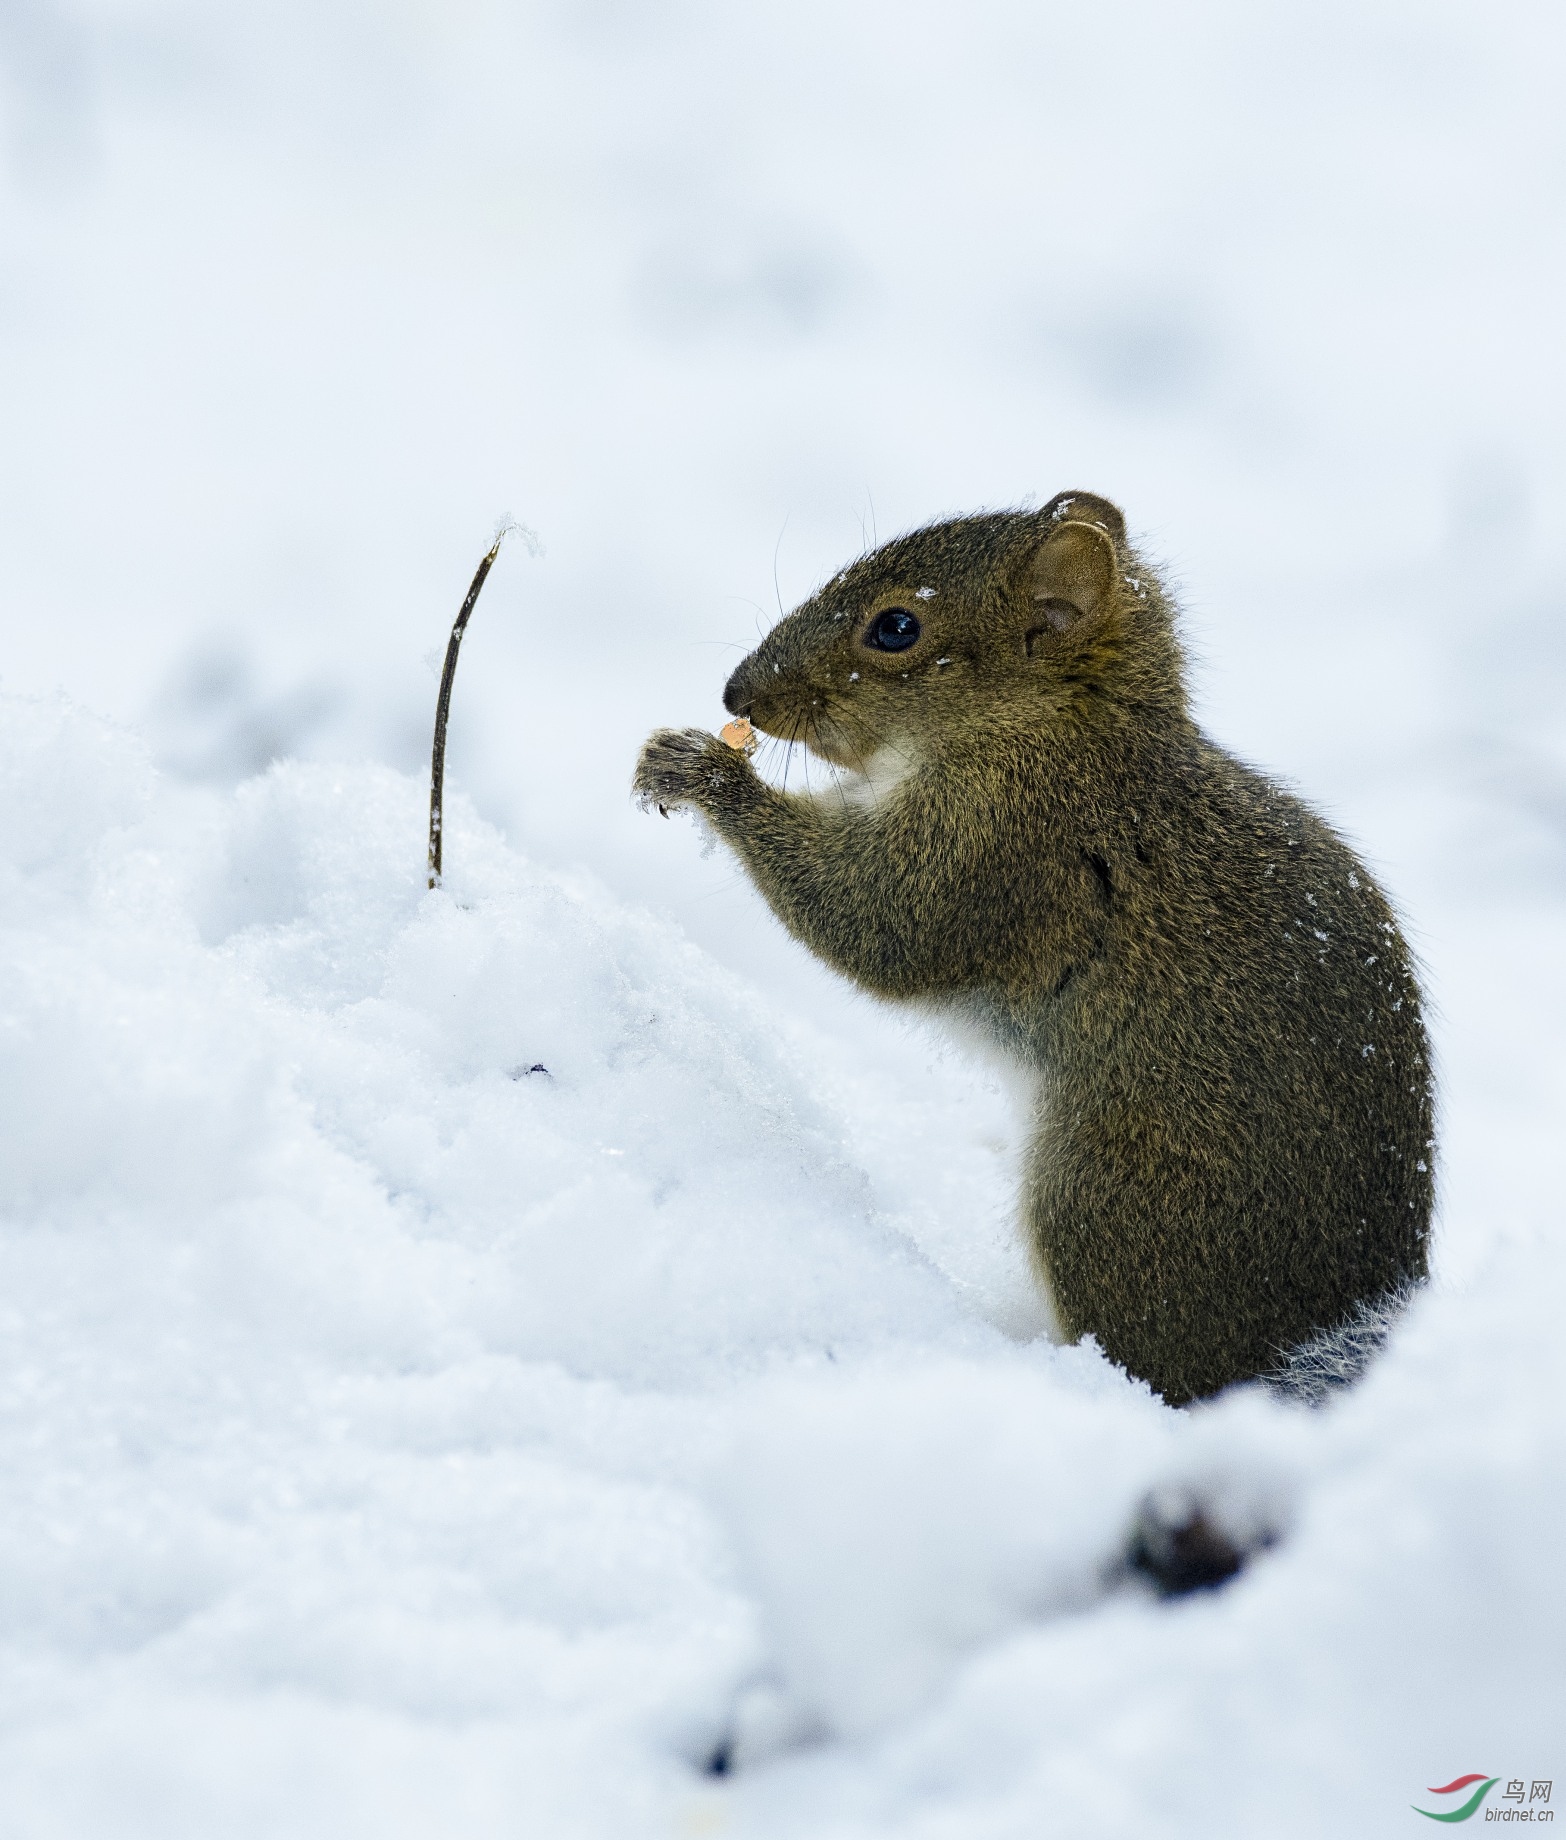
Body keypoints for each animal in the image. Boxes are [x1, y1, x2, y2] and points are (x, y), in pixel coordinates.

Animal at [633, 496, 1435, 1398]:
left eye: (896, 628)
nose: (738, 693)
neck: (1046, 731)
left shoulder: (997, 847)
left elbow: (875, 920)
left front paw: (702, 773)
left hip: (1108, 1209)